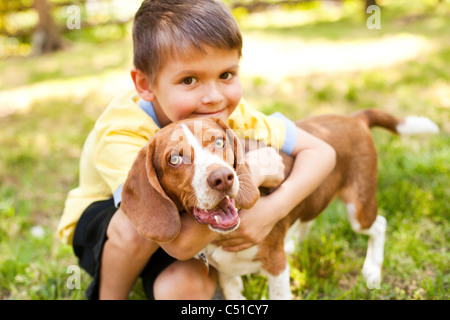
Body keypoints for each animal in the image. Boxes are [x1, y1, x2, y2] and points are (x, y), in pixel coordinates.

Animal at [121, 109, 438, 300]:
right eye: (175, 159)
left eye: (220, 142)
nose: (223, 178)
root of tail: (354, 117)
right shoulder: (227, 276)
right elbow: (233, 288)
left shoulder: (276, 266)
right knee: (308, 216)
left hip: (358, 209)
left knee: (379, 224)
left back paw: (372, 268)